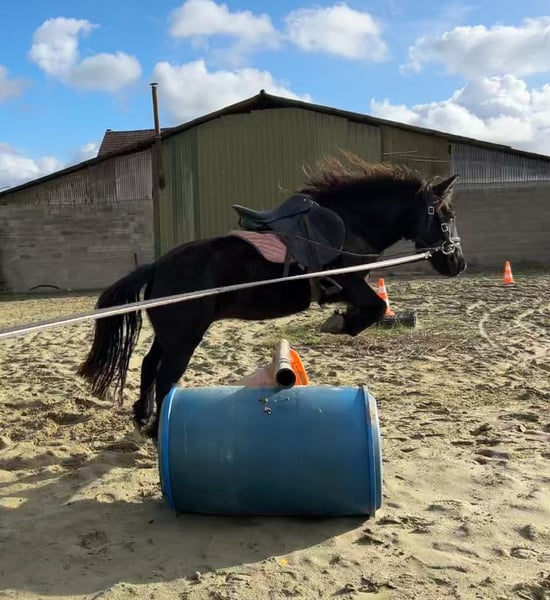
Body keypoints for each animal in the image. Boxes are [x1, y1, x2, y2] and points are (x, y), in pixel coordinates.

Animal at [77, 153, 466, 439]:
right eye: (445, 214)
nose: (457, 262)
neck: (349, 224)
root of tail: (158, 265)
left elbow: (373, 307)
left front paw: (339, 320)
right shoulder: (349, 281)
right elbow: (375, 306)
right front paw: (340, 324)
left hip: (171, 334)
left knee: (148, 366)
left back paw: (142, 417)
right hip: (185, 336)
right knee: (165, 376)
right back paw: (158, 430)